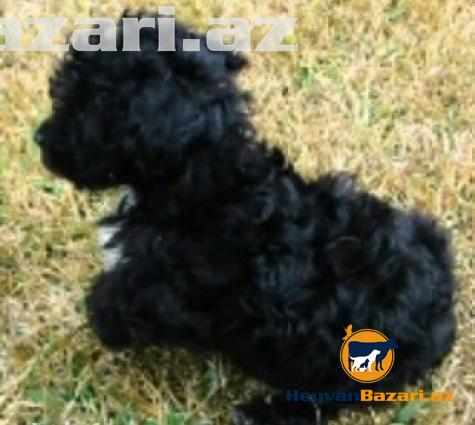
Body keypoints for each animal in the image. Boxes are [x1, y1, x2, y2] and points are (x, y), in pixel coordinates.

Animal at [35, 12, 457, 425]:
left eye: (88, 104)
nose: (40, 139)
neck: (201, 177)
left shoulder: (179, 290)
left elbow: (121, 298)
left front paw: (103, 318)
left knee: (326, 398)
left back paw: (261, 412)